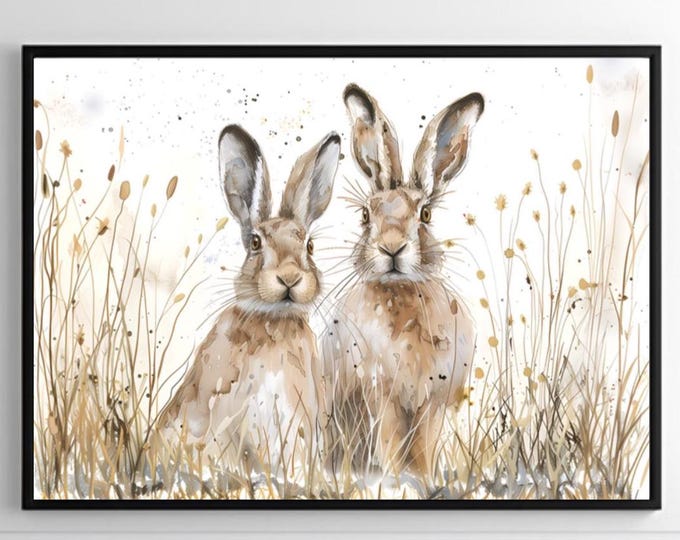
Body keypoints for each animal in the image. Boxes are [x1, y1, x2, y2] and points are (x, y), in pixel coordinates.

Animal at [322, 84, 483, 489]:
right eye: (366, 215)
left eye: (425, 214)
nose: (392, 248)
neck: (402, 295)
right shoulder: (382, 397)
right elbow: (391, 444)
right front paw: (396, 482)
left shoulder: (432, 402)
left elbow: (424, 447)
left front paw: (424, 481)